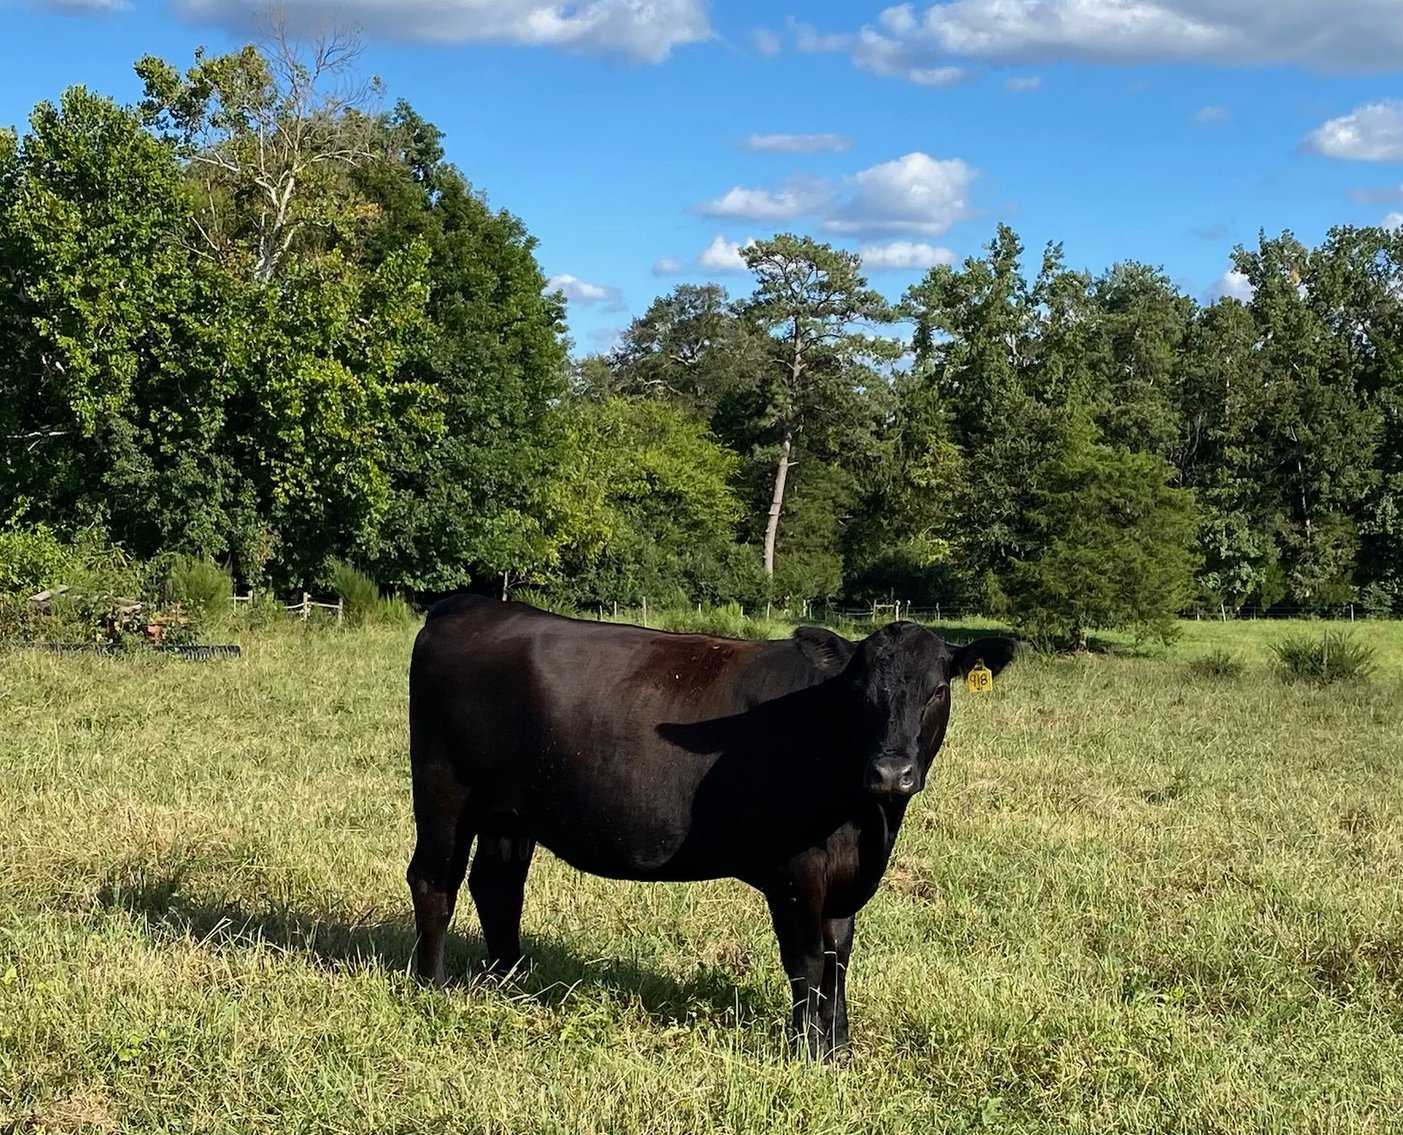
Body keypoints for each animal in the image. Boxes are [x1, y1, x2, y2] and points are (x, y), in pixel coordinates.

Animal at [406, 594, 1016, 1059]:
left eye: (938, 690)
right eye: (860, 693)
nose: (892, 772)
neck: (870, 824)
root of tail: (472, 606)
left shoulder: (848, 879)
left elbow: (839, 958)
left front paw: (839, 1048)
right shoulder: (795, 872)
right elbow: (806, 961)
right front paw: (806, 1052)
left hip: (510, 813)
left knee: (497, 886)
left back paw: (514, 985)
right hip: (444, 794)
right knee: (435, 882)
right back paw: (431, 990)